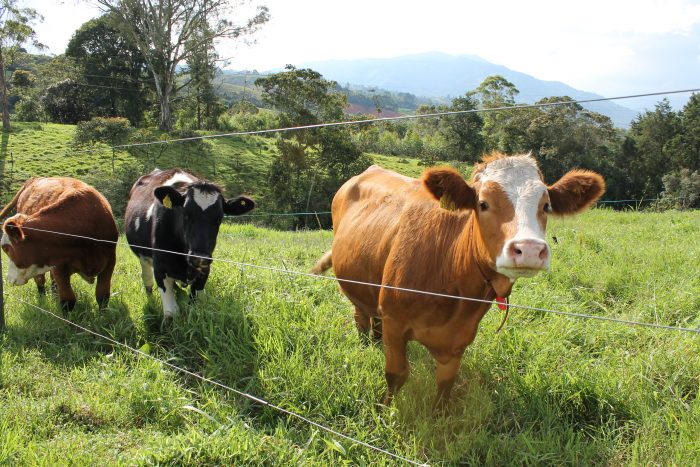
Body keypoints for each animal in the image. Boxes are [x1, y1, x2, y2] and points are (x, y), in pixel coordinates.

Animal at [0, 176, 119, 310]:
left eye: (6, 248)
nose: (8, 278)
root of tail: (36, 178)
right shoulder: (59, 267)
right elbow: (68, 301)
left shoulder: (110, 262)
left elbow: (102, 296)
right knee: (40, 281)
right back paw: (43, 301)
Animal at [124, 170, 256, 324]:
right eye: (186, 214)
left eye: (219, 218)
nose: (200, 257)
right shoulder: (160, 268)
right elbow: (171, 314)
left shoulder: (204, 270)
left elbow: (195, 308)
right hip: (142, 258)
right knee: (147, 279)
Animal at [314, 154, 608, 410]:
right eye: (483, 203)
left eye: (545, 206)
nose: (529, 249)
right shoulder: (395, 321)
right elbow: (395, 375)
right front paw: (384, 413)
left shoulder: (460, 336)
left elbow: (446, 384)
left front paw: (438, 416)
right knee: (361, 317)